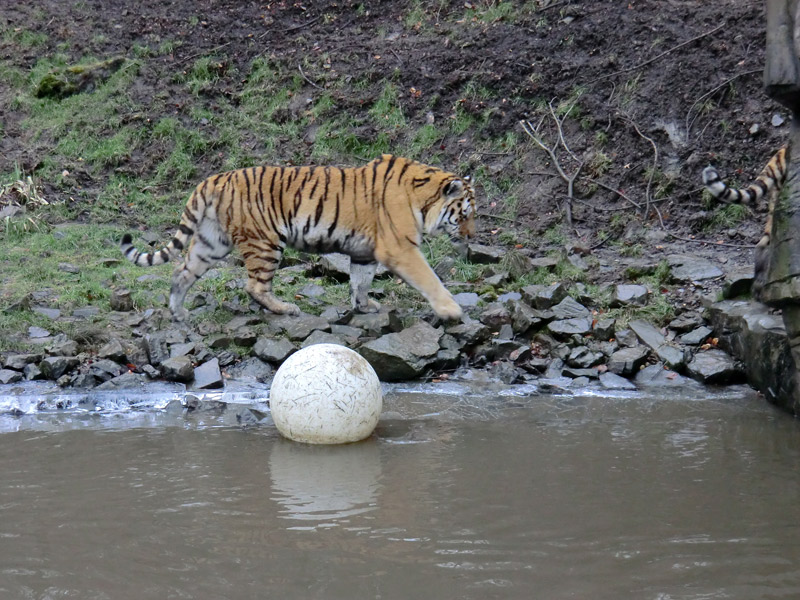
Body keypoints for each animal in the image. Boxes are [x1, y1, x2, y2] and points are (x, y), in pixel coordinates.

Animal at [120, 156, 476, 324]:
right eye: (465, 214)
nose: (472, 236)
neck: (423, 199)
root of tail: (214, 178)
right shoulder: (401, 248)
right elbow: (430, 279)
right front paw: (451, 311)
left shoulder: (365, 251)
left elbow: (360, 281)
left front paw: (364, 306)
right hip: (265, 242)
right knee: (254, 285)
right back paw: (285, 308)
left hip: (212, 242)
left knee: (181, 273)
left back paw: (179, 313)